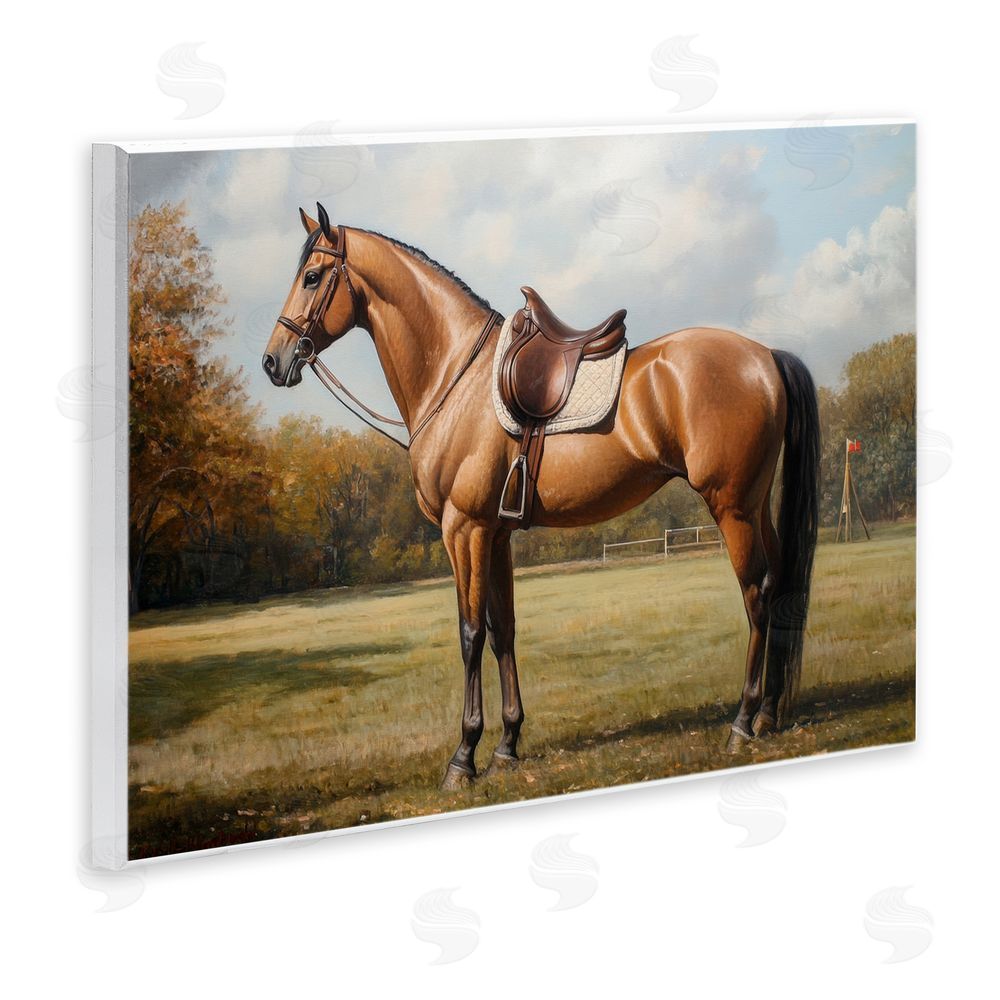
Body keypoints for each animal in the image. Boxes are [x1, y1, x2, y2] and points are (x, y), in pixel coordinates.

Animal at [262, 203, 820, 789]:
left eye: (312, 277)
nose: (273, 362)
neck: (455, 377)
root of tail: (765, 356)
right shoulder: (496, 534)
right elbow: (502, 630)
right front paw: (507, 744)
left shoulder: (464, 530)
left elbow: (469, 634)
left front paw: (463, 757)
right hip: (756, 505)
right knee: (779, 585)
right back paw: (768, 713)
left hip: (731, 507)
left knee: (755, 593)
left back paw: (742, 721)